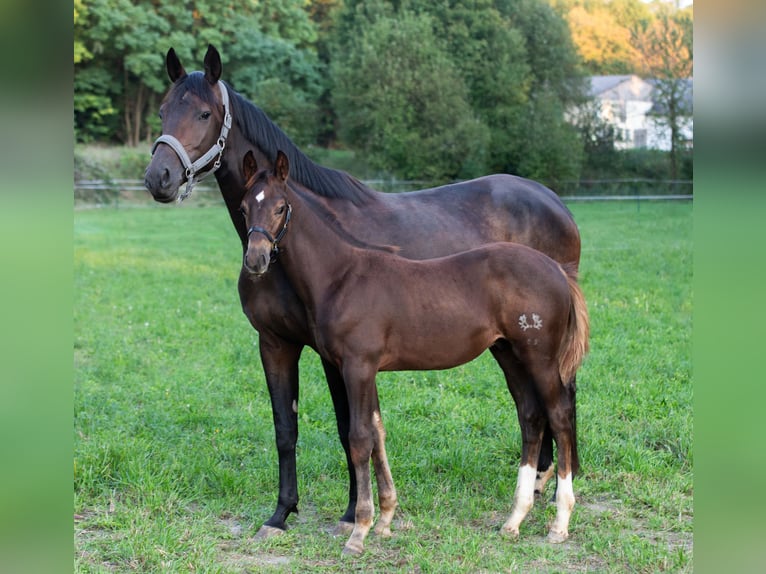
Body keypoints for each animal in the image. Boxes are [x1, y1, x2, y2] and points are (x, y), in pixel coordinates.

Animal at [243, 151, 592, 556]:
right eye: (244, 206)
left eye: (281, 207)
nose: (256, 259)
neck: (342, 275)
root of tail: (556, 269)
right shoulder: (363, 370)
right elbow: (377, 433)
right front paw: (384, 521)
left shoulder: (358, 367)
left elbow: (359, 438)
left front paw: (359, 531)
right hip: (509, 352)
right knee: (531, 417)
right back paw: (514, 520)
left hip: (541, 356)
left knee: (560, 415)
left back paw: (559, 522)